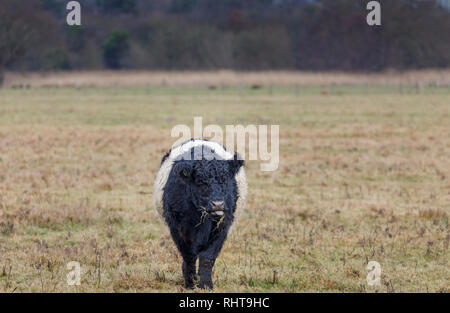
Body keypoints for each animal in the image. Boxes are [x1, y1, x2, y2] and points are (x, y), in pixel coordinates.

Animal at [154, 139, 246, 288]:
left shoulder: (222, 227)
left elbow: (207, 257)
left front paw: (205, 285)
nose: (217, 204)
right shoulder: (177, 228)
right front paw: (190, 284)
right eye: (200, 182)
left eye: (225, 180)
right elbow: (189, 256)